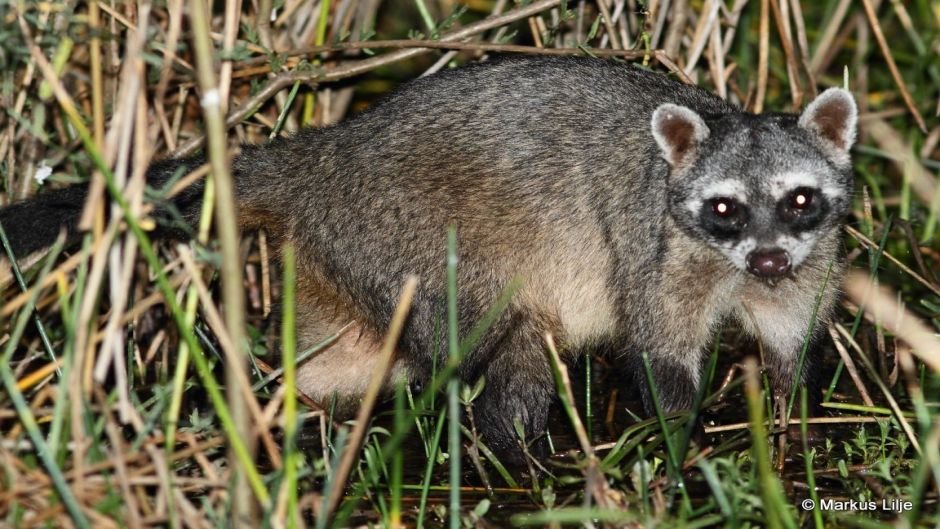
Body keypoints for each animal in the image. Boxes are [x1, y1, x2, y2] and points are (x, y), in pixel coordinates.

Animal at [0, 55, 856, 456]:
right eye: (724, 207)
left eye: (799, 198)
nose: (768, 262)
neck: (735, 265)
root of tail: (326, 152)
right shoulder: (660, 252)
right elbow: (659, 355)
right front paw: (681, 446)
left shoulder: (812, 255)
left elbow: (793, 345)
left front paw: (797, 425)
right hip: (420, 243)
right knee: (506, 352)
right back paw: (515, 451)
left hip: (350, 258)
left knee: (338, 363)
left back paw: (289, 408)